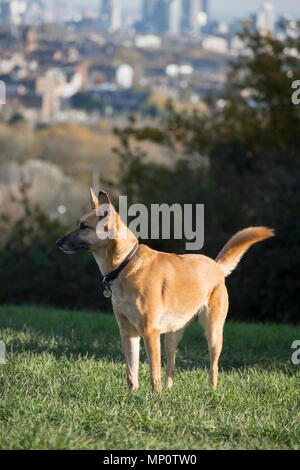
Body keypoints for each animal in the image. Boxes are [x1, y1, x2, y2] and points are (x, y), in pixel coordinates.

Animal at [56, 189, 274, 392]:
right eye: (78, 224)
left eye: (84, 226)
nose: (58, 242)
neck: (126, 263)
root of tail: (215, 265)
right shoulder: (128, 333)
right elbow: (131, 371)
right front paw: (132, 394)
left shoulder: (150, 332)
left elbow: (154, 371)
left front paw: (155, 396)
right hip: (172, 335)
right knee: (171, 365)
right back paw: (169, 390)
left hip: (212, 332)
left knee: (213, 366)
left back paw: (211, 389)